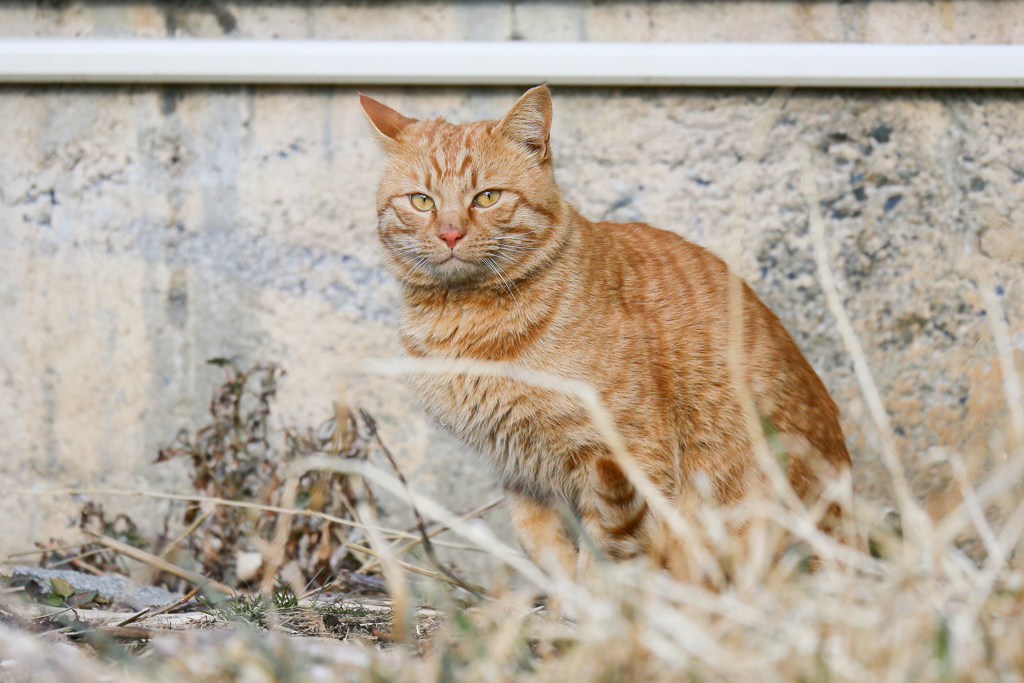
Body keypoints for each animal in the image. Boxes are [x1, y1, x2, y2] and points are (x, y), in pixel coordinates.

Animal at [360, 85, 847, 577]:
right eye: (422, 201)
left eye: (487, 197)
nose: (450, 234)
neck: (464, 321)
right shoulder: (519, 471)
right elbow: (542, 546)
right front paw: (561, 597)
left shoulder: (627, 456)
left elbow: (601, 561)